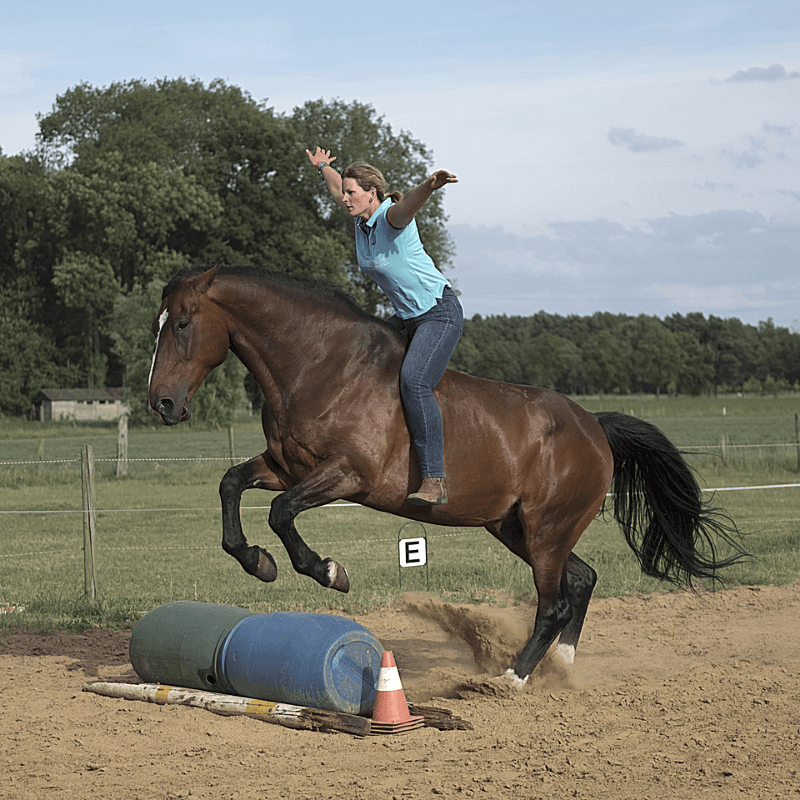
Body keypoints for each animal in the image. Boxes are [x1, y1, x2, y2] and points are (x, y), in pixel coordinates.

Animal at [147, 264, 748, 688]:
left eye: (181, 325)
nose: (162, 404)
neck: (320, 367)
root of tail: (594, 428)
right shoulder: (284, 467)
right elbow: (231, 485)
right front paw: (258, 562)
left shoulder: (347, 476)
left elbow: (281, 512)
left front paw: (327, 571)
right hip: (515, 528)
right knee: (581, 580)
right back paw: (561, 667)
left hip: (546, 528)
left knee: (554, 601)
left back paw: (512, 678)